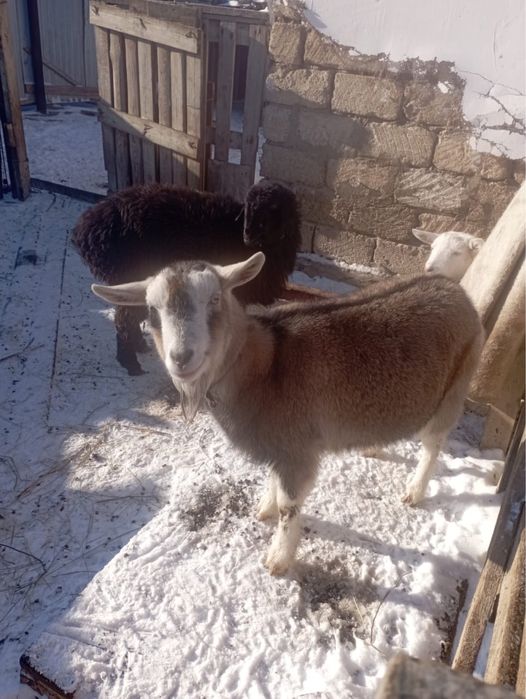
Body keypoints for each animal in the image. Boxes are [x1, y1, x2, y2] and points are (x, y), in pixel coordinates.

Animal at [72, 181, 300, 375]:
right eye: (250, 206)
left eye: (273, 208)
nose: (248, 234)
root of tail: (85, 232)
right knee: (123, 319)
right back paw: (130, 363)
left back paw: (139, 347)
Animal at [91, 254, 483, 575]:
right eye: (152, 310)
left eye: (214, 299)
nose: (181, 358)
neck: (265, 367)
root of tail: (454, 287)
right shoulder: (278, 445)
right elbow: (273, 483)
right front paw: (263, 507)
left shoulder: (298, 450)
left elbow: (289, 507)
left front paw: (278, 559)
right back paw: (373, 447)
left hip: (456, 385)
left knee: (434, 444)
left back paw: (414, 491)